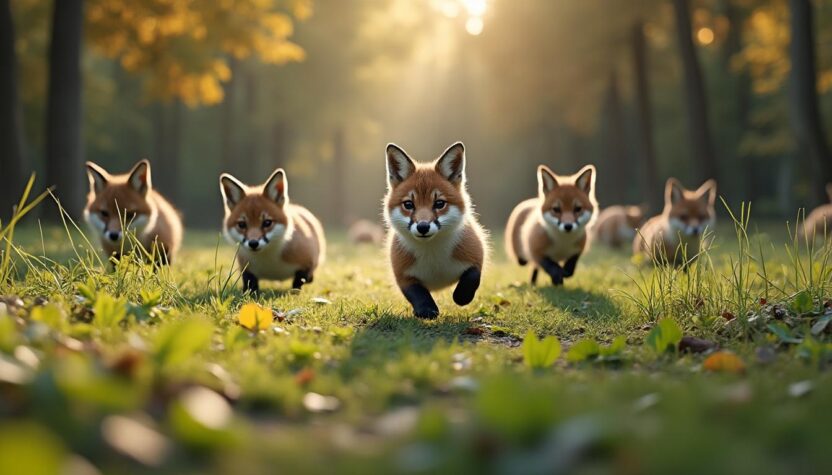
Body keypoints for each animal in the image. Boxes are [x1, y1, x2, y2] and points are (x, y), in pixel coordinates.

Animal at [384, 142, 487, 319]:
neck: (433, 259)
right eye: (408, 205)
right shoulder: (403, 275)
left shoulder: (475, 255)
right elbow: (418, 294)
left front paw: (461, 297)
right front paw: (426, 310)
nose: (423, 227)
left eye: (439, 204)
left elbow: (472, 276)